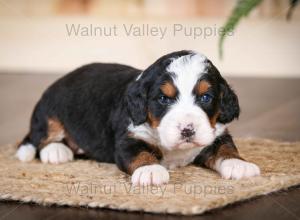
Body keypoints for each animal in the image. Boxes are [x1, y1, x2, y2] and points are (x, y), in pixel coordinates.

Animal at [16, 50, 260, 185]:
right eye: (163, 99)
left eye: (206, 97)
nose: (187, 130)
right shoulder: (128, 138)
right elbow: (139, 153)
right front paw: (150, 170)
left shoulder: (215, 133)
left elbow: (226, 148)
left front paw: (238, 164)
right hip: (50, 112)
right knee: (38, 138)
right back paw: (56, 151)